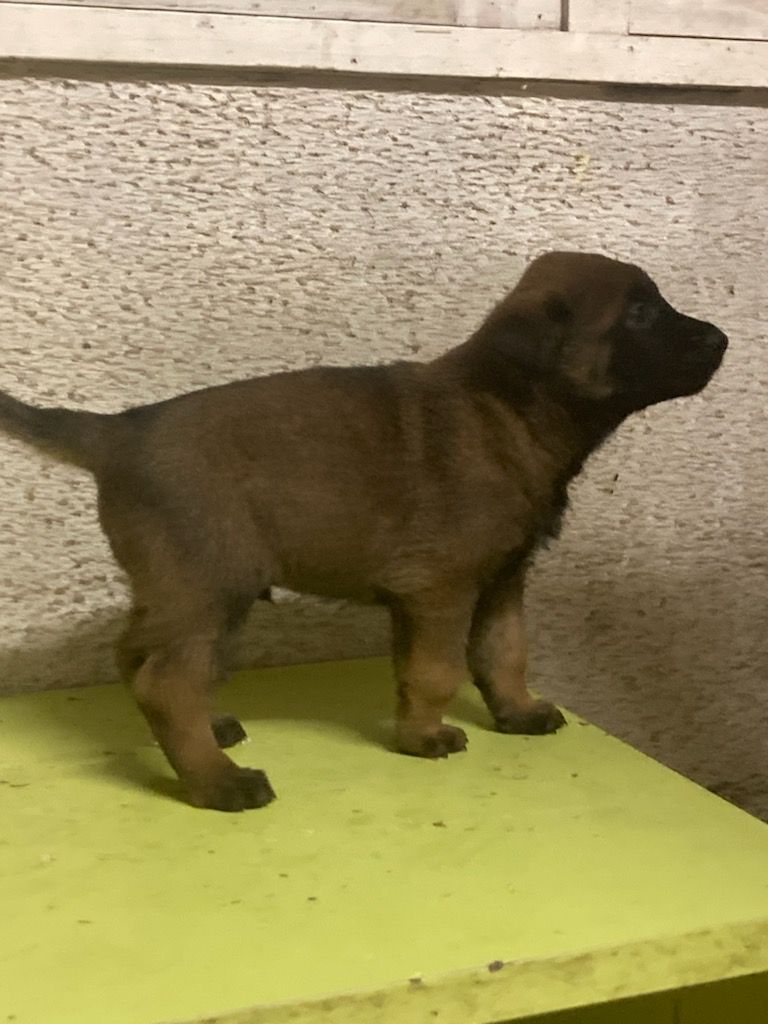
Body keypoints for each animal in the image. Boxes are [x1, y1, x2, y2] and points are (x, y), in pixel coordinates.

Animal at [0, 252, 727, 811]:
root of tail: (117, 432)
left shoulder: (501, 580)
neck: (508, 407)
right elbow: (437, 670)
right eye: (638, 314)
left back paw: (206, 739)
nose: (722, 339)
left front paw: (516, 713)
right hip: (208, 584)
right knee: (166, 682)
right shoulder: (440, 589)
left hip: (190, 594)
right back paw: (216, 783)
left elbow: (503, 654)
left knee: (145, 661)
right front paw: (424, 738)